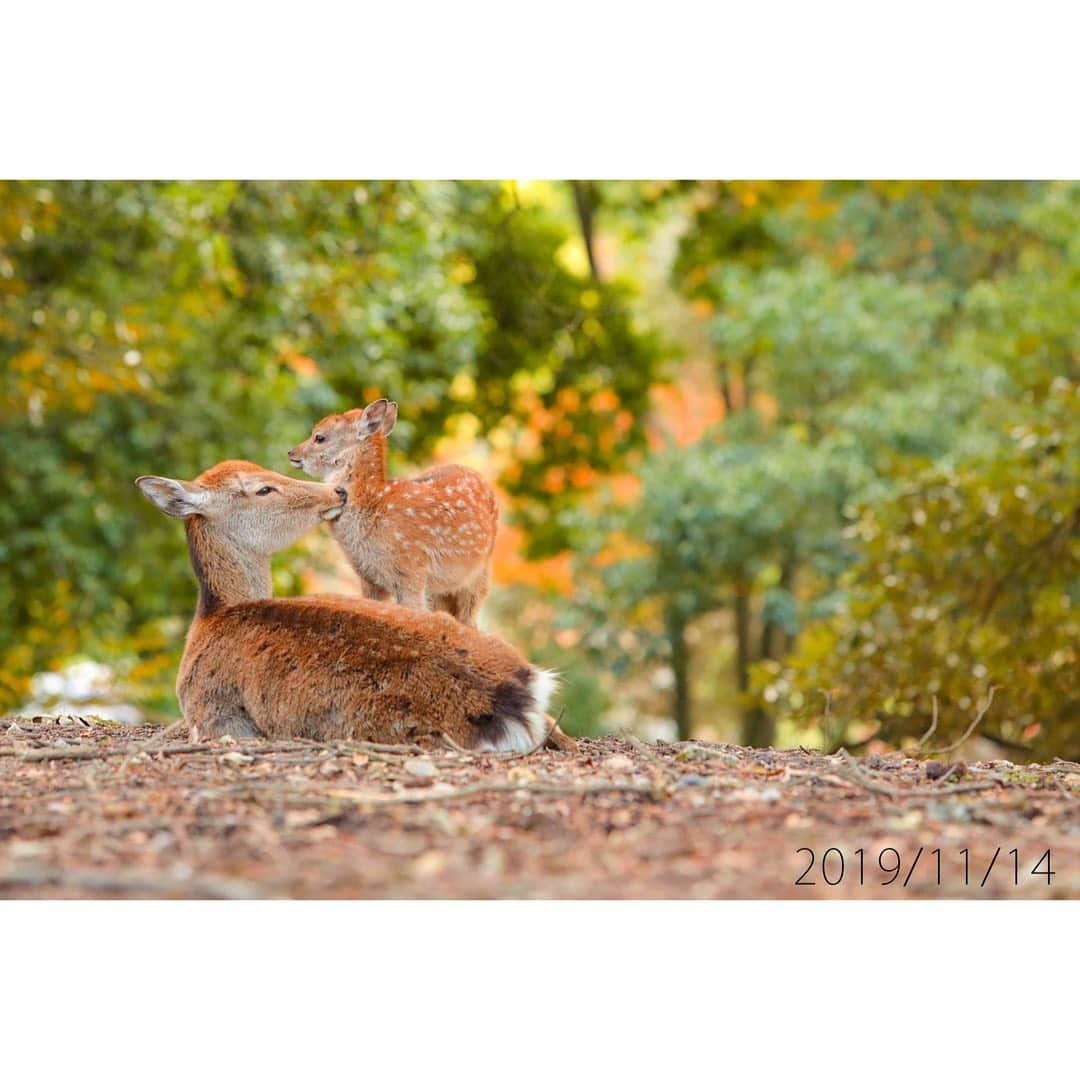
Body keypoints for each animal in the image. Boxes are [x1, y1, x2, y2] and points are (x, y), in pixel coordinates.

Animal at [291, 401, 501, 630]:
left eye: (320, 437)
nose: (292, 453)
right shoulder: (369, 579)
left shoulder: (412, 570)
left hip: (479, 576)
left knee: (470, 617)